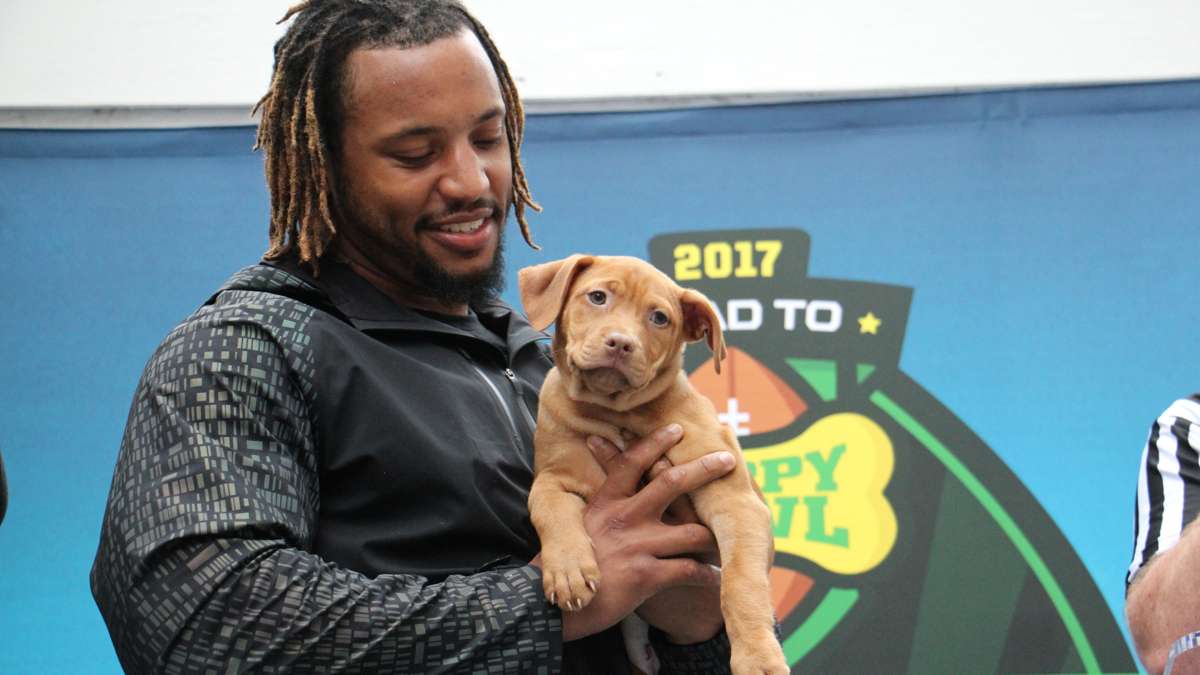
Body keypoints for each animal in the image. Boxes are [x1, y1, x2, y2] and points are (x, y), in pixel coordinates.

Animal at [518, 253, 787, 672]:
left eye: (660, 318)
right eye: (597, 297)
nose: (620, 343)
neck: (617, 413)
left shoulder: (736, 499)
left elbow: (741, 582)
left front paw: (757, 657)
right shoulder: (556, 475)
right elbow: (547, 505)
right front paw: (567, 569)